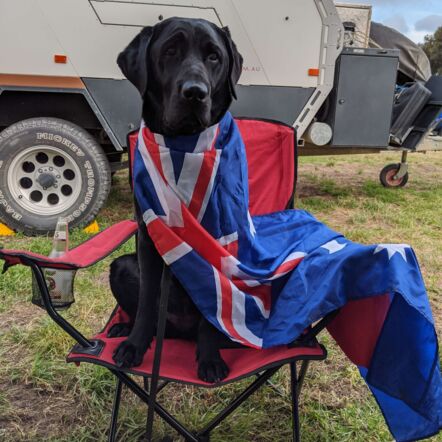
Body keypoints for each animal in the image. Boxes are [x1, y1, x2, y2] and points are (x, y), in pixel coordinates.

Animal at [109, 18, 243, 384]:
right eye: (170, 51)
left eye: (214, 56)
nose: (195, 92)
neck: (183, 146)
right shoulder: (150, 237)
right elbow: (147, 301)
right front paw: (134, 346)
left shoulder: (220, 243)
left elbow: (215, 305)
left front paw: (209, 358)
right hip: (121, 266)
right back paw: (125, 329)